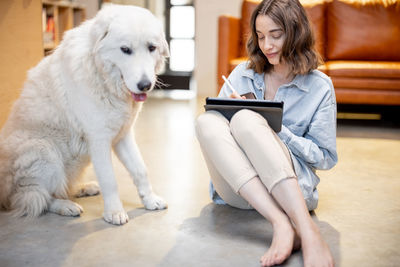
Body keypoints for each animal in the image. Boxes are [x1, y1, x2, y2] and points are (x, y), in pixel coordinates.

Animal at [0, 4, 169, 226]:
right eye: (125, 50)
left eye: (151, 48)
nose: (145, 85)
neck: (104, 79)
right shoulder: (99, 140)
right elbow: (110, 180)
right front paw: (114, 212)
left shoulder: (123, 136)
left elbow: (140, 170)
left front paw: (150, 200)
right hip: (43, 150)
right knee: (36, 197)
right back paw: (65, 206)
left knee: (59, 189)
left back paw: (84, 188)